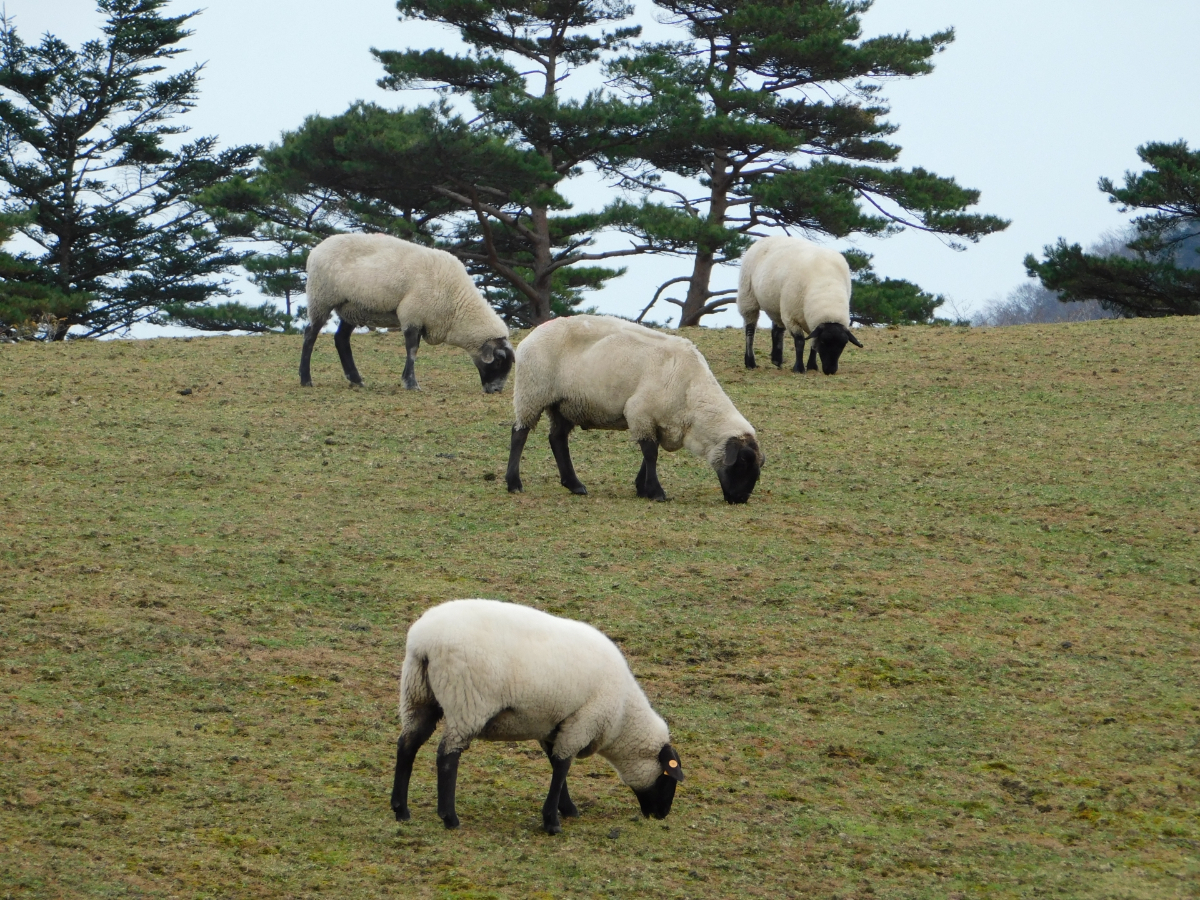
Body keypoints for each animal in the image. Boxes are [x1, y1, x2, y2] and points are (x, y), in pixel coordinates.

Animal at [297, 236, 513, 393]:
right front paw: (411, 384)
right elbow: (412, 350)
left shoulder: (420, 318)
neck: (456, 305)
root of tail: (316, 250)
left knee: (341, 339)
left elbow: (413, 349)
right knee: (310, 335)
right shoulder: (412, 314)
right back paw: (306, 379)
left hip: (352, 307)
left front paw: (407, 381)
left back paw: (356, 380)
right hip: (321, 298)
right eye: (499, 360)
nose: (496, 390)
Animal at [388, 600, 681, 840]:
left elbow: (555, 763)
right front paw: (552, 821)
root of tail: (424, 642)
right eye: (669, 778)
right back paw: (449, 818)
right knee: (447, 756)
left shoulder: (554, 726)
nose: (662, 815)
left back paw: (401, 810)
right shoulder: (583, 721)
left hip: (417, 694)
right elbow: (562, 765)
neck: (623, 716)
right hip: (467, 702)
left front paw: (567, 808)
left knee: (407, 745)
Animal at [501, 314, 763, 504]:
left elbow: (650, 453)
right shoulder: (640, 412)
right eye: (741, 463)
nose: (740, 499)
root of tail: (531, 335)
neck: (693, 395)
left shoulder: (655, 420)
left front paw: (642, 487)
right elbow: (650, 452)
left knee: (557, 438)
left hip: (565, 404)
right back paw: (514, 483)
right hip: (532, 392)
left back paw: (574, 485)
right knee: (519, 433)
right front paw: (656, 492)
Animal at [739, 234, 864, 374]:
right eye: (824, 342)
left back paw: (777, 360)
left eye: (843, 344)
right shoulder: (791, 317)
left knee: (777, 329)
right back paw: (750, 362)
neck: (826, 287)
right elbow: (800, 342)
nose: (830, 370)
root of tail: (767, 238)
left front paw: (812, 366)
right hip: (748, 296)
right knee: (750, 329)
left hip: (777, 303)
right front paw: (799, 368)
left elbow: (813, 345)